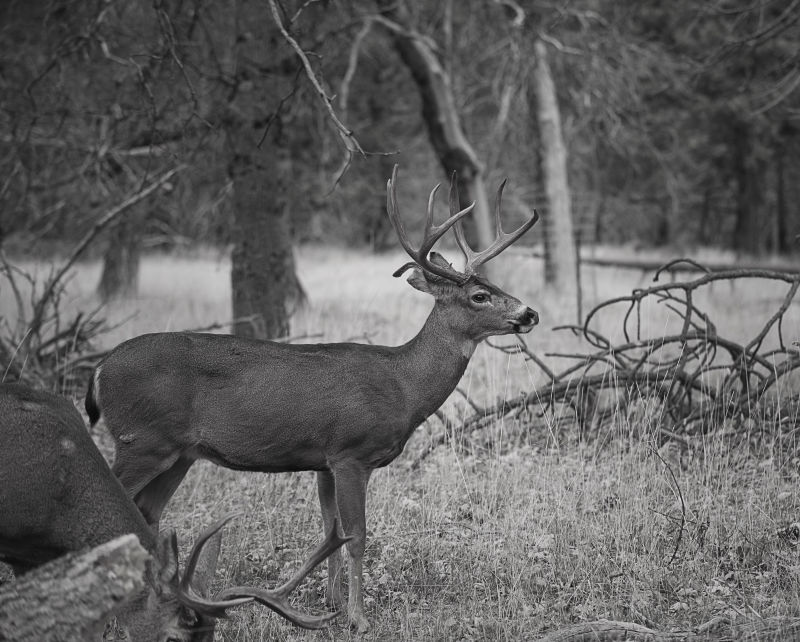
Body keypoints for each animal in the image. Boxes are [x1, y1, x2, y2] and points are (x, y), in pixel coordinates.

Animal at [86, 165, 536, 632]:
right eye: (479, 296)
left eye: (495, 284)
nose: (529, 314)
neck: (403, 386)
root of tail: (99, 369)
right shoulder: (352, 453)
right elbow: (356, 535)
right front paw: (359, 617)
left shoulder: (323, 461)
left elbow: (329, 529)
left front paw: (332, 603)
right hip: (141, 439)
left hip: (178, 453)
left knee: (146, 514)